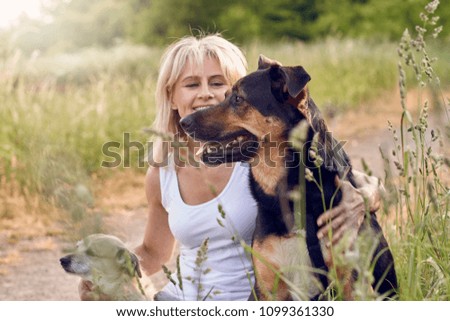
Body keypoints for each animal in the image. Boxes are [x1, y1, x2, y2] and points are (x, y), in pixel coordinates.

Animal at [179, 55, 398, 300]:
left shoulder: (350, 284)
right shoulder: (267, 287)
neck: (291, 194)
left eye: (237, 98)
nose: (183, 122)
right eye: (226, 95)